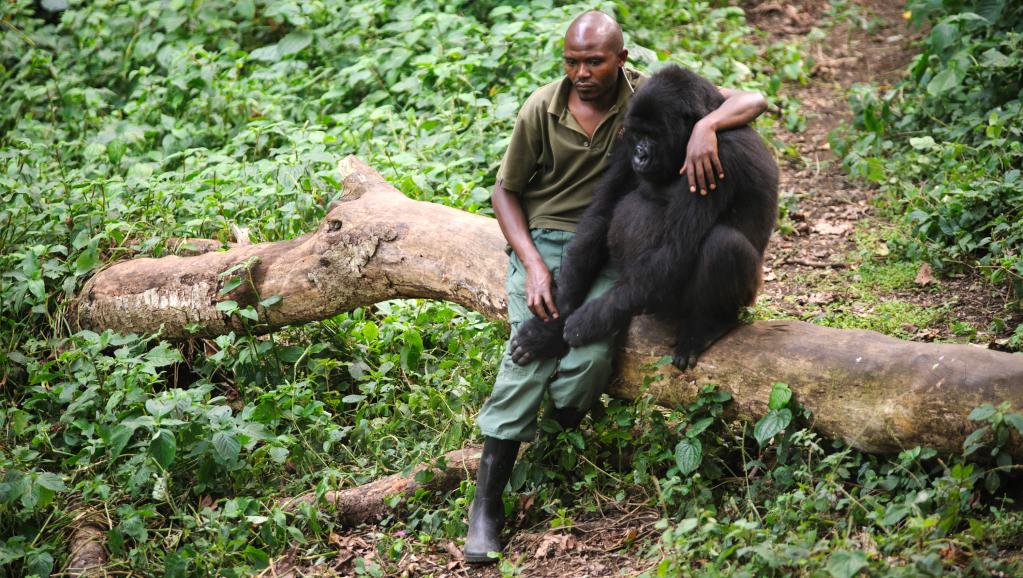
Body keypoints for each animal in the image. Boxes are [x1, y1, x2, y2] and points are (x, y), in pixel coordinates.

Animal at [511, 63, 773, 370]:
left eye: (653, 135)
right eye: (637, 135)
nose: (640, 155)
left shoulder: (716, 152)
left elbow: (675, 246)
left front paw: (588, 321)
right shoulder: (624, 140)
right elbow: (602, 214)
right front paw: (550, 328)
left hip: (743, 297)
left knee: (723, 243)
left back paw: (710, 324)